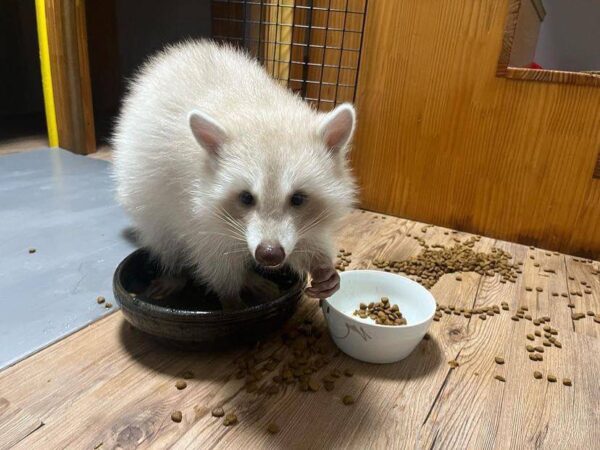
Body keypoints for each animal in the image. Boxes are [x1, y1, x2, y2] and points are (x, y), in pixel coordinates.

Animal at [112, 41, 356, 310]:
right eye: (246, 198)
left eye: (298, 199)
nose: (269, 254)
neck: (264, 111)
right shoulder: (196, 214)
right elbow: (215, 260)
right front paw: (232, 300)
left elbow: (308, 238)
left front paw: (321, 263)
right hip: (142, 193)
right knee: (162, 236)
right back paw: (176, 271)